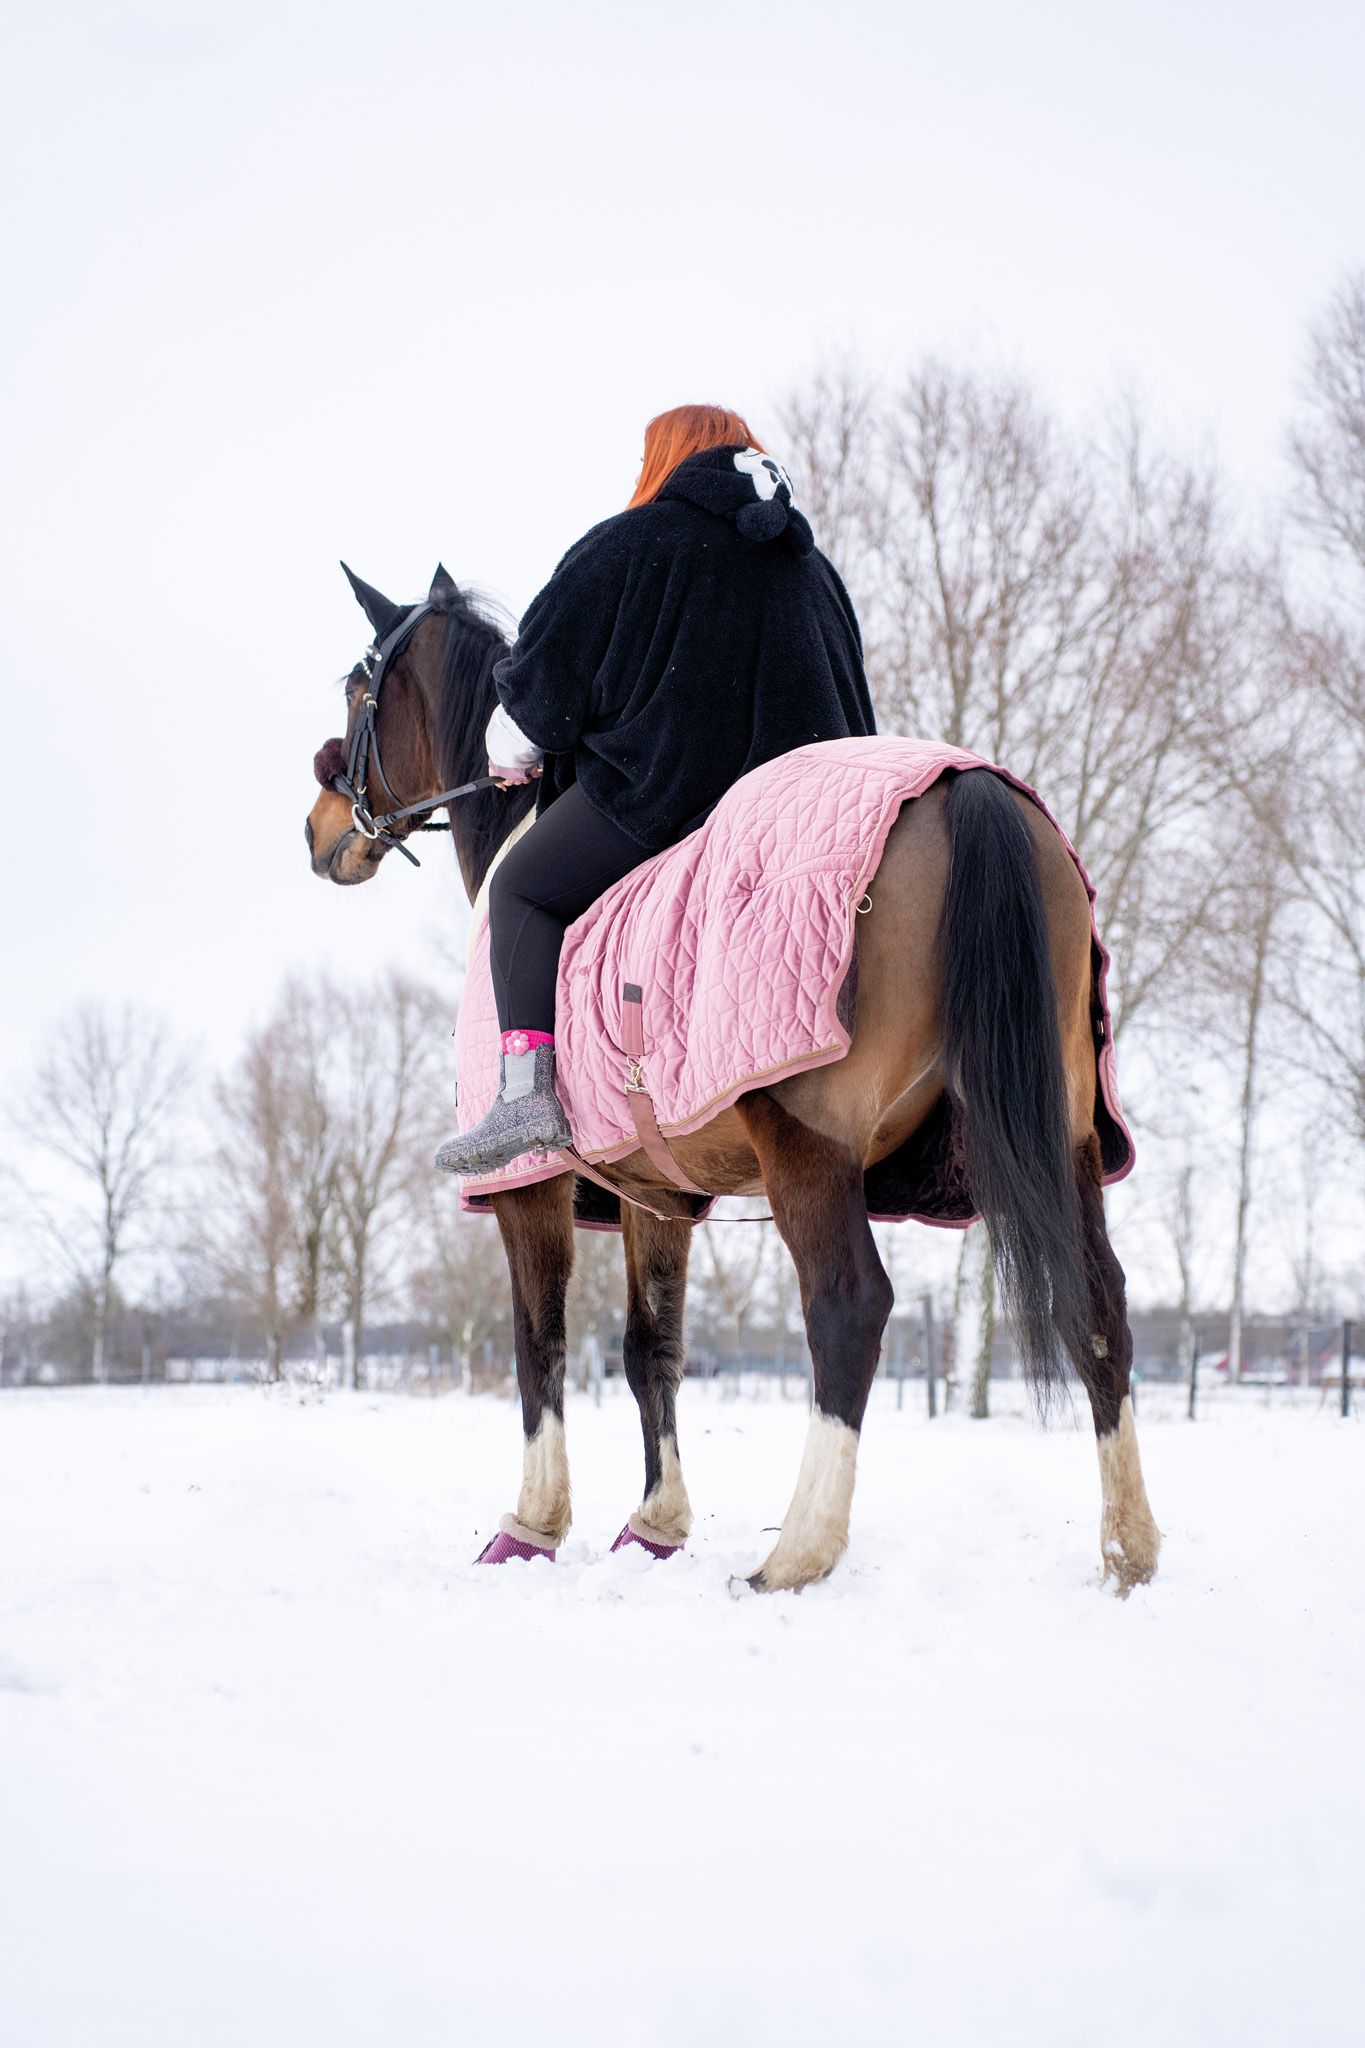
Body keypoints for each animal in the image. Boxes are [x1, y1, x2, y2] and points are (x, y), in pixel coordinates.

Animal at [304, 564, 1161, 1594]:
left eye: (359, 689)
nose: (317, 830)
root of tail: (966, 788)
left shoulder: (526, 1185)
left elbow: (538, 1343)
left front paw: (531, 1527)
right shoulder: (657, 1193)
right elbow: (650, 1348)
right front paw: (655, 1525)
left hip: (808, 1140)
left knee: (847, 1305)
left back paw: (795, 1556)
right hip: (1057, 1131)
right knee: (1099, 1301)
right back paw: (1128, 1550)